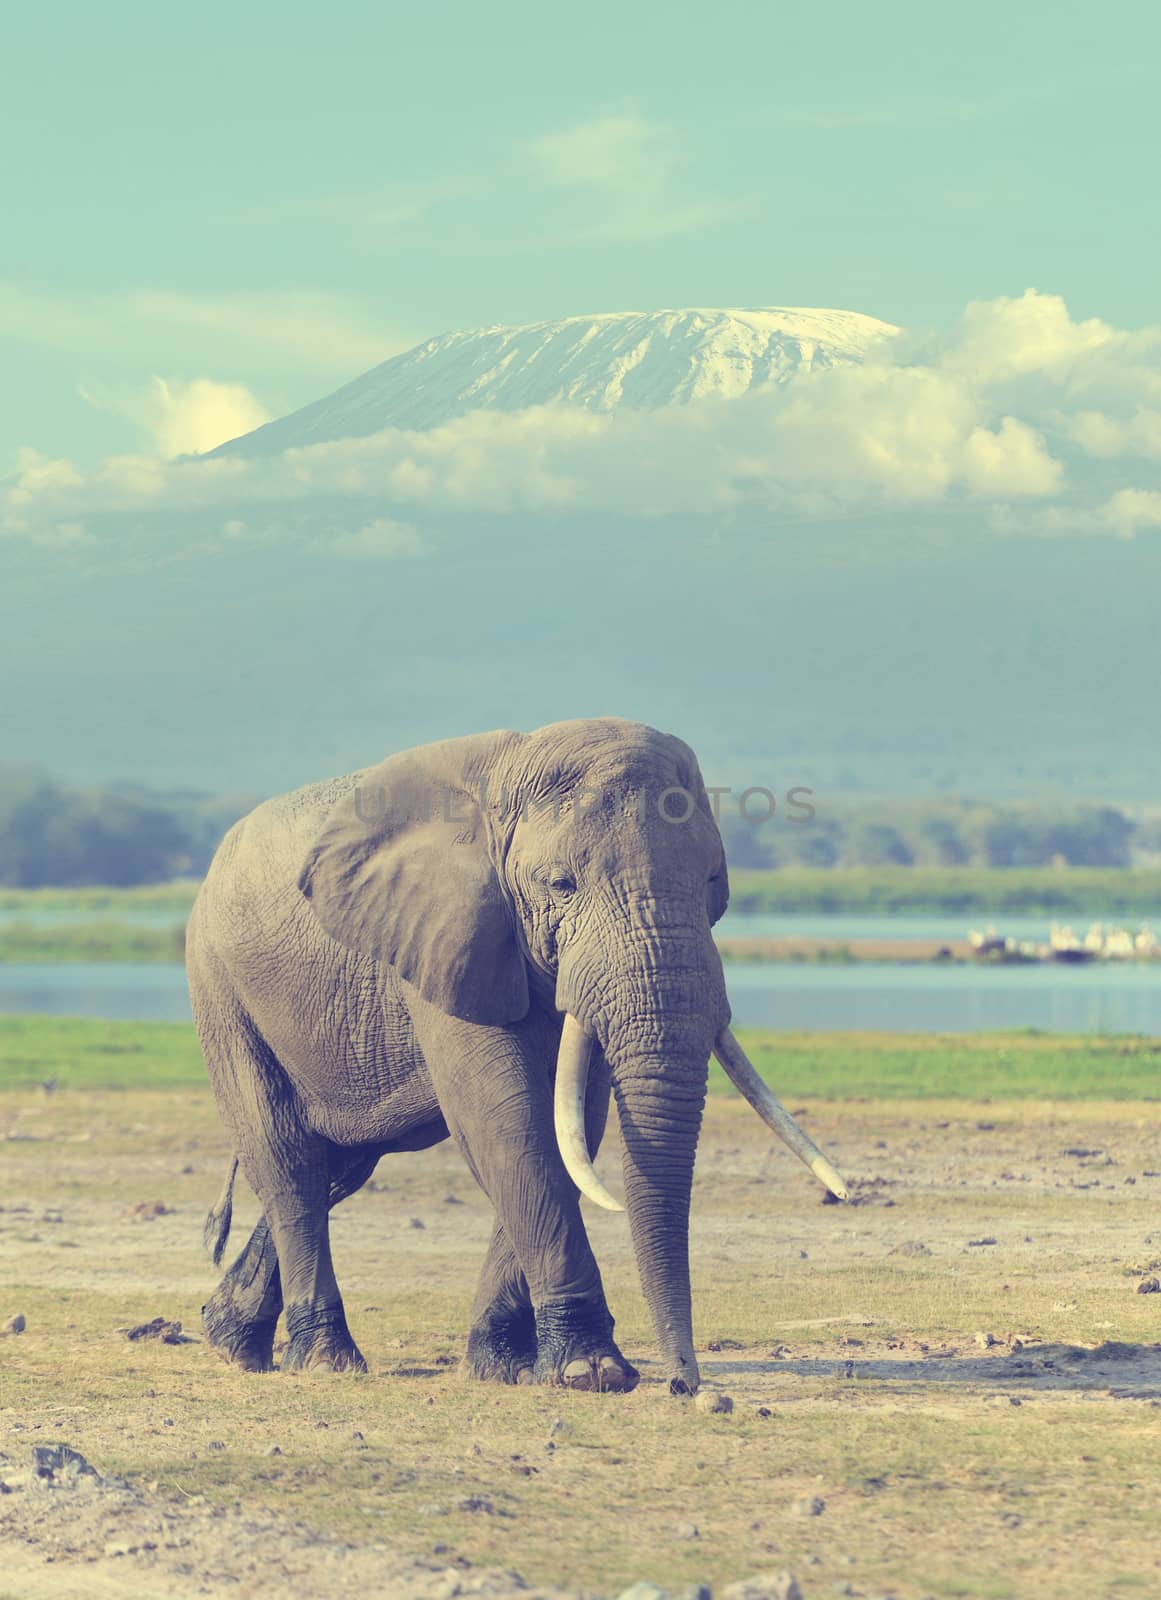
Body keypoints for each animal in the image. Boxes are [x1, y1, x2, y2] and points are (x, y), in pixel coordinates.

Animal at [188, 720, 844, 1395]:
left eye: (714, 884)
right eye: (561, 885)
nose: (683, 1383)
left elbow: (571, 1123)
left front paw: (502, 1368)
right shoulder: (449, 934)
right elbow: (507, 1121)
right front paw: (591, 1372)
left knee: (341, 1163)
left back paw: (229, 1338)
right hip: (219, 982)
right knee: (287, 1156)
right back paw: (324, 1361)